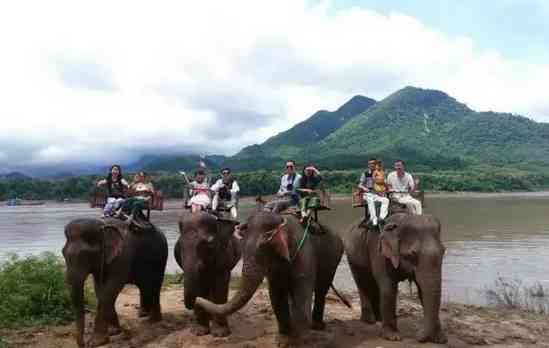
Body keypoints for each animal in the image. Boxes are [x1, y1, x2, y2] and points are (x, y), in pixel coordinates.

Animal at [61, 216, 167, 346]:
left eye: (86, 256)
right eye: (63, 253)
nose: (83, 344)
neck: (103, 226)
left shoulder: (122, 256)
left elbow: (110, 288)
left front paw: (96, 342)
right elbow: (99, 289)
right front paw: (113, 332)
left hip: (161, 259)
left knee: (154, 285)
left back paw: (153, 321)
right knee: (144, 286)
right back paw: (143, 314)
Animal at [195, 211, 344, 346]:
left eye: (263, 251)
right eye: (242, 250)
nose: (197, 299)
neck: (280, 220)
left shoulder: (304, 254)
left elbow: (301, 293)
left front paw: (298, 339)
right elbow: (276, 294)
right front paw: (284, 340)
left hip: (334, 257)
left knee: (321, 290)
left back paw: (317, 326)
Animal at [344, 212, 448, 342]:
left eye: (443, 251)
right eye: (412, 254)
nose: (419, 337)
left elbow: (423, 291)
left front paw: (440, 338)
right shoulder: (379, 251)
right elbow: (389, 289)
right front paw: (393, 337)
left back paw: (379, 319)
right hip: (352, 257)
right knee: (363, 283)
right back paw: (370, 321)